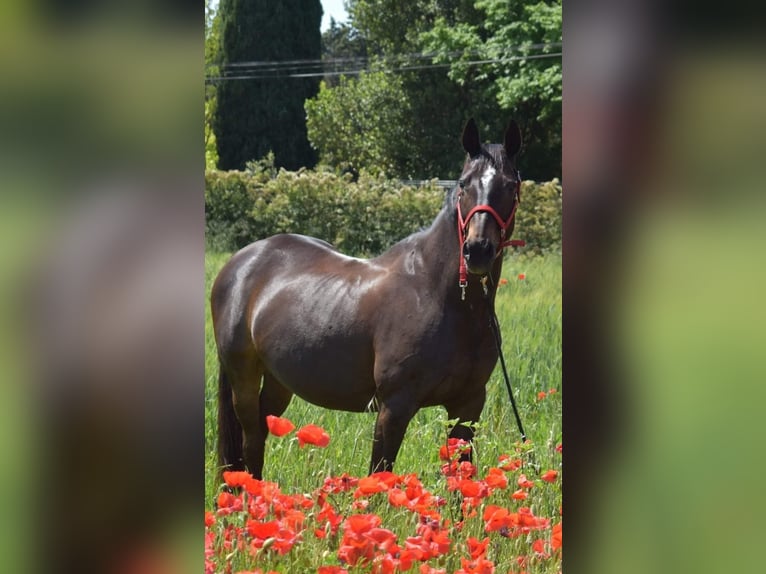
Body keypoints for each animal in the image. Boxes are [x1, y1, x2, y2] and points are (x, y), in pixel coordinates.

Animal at [213, 119, 524, 480]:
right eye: (464, 184)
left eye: (511, 185)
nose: (477, 250)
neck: (441, 298)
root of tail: (242, 261)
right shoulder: (394, 407)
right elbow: (380, 475)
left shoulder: (468, 405)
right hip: (244, 379)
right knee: (250, 443)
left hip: (278, 380)